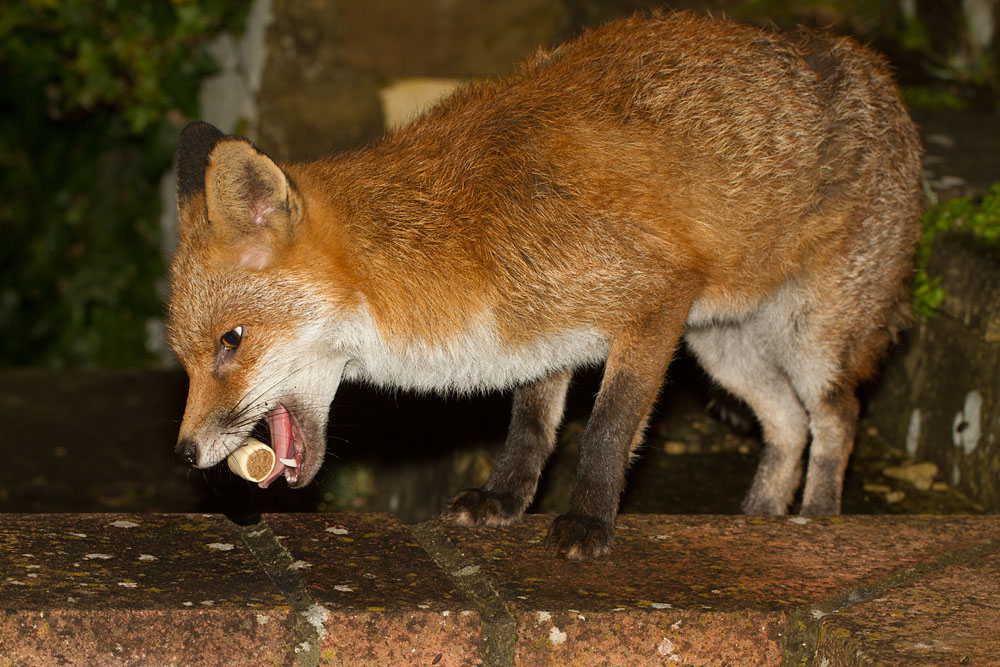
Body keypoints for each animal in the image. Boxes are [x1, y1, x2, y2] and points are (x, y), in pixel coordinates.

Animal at [168, 11, 922, 560]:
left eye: (231, 340)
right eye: (185, 357)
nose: (185, 454)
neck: (456, 238)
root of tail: (876, 67)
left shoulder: (652, 302)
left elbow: (607, 431)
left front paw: (588, 521)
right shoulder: (540, 335)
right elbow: (531, 427)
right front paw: (505, 503)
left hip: (809, 340)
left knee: (836, 417)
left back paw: (817, 521)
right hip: (724, 348)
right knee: (788, 427)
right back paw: (760, 521)